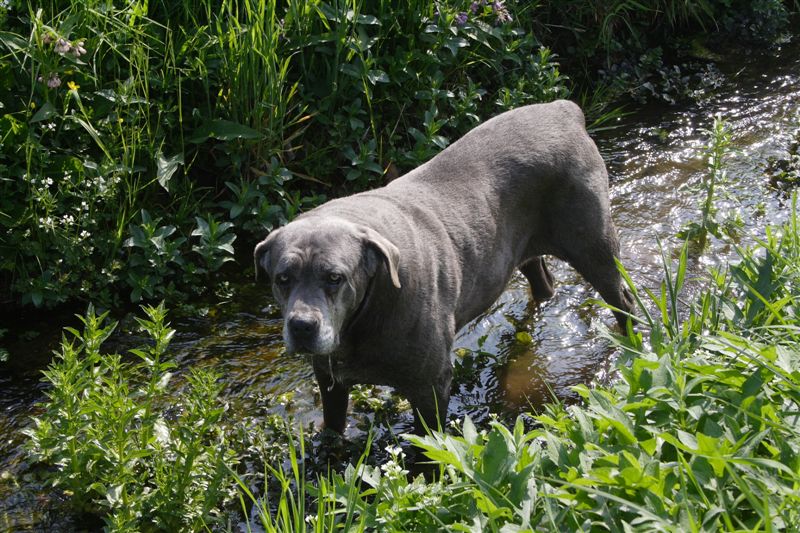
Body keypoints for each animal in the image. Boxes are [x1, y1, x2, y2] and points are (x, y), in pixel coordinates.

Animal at [253, 98, 636, 432]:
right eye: (282, 279)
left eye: (335, 277)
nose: (302, 326)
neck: (366, 311)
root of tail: (564, 110)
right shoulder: (330, 380)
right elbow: (333, 424)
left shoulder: (429, 386)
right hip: (521, 245)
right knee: (541, 279)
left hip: (592, 244)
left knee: (621, 297)